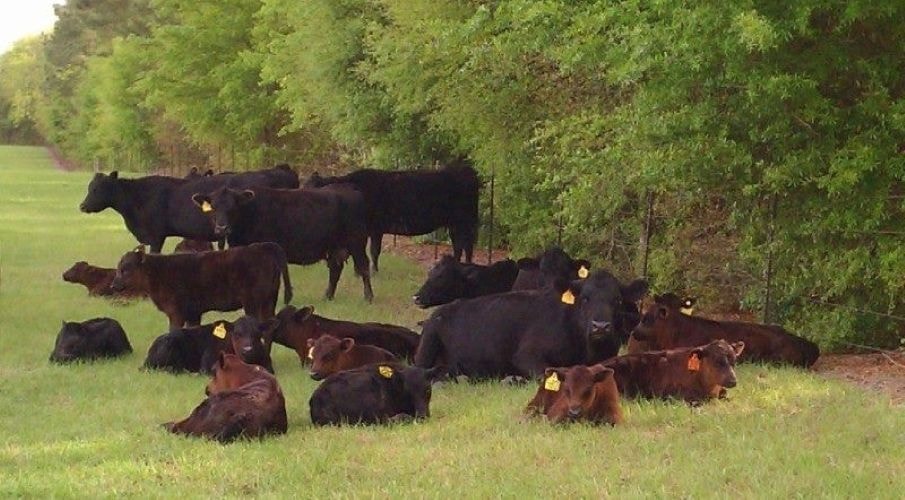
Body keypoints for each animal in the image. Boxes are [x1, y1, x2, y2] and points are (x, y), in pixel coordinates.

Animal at [110, 243, 292, 330]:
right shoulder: (193, 313)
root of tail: (262, 246)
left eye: (125, 269)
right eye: (118, 268)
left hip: (252, 302)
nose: (113, 285)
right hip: (269, 300)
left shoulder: (176, 312)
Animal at [191, 185, 374, 302]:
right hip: (335, 247)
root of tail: (351, 191)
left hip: (357, 241)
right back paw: (327, 296)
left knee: (364, 266)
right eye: (213, 207)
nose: (221, 228)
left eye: (233, 207)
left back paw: (368, 296)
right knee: (336, 269)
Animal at [304, 160, 480, 272]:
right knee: (459, 244)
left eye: (312, 186)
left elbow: (374, 250)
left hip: (465, 220)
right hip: (455, 223)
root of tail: (467, 170)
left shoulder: (375, 228)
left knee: (466, 244)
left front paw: (374, 271)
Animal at [415, 270, 648, 379]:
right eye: (585, 298)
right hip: (426, 347)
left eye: (617, 300)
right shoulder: (526, 355)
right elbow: (546, 370)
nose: (600, 326)